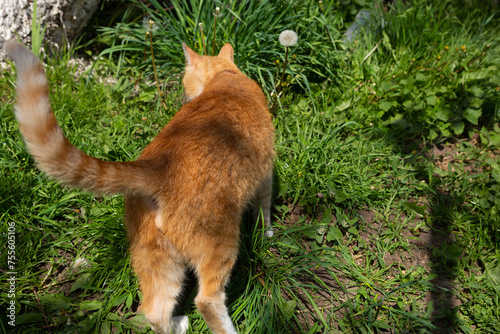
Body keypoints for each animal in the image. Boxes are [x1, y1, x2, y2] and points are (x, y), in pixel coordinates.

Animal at [5, 39, 276, 334]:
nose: (185, 96)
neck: (225, 76)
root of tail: (157, 166)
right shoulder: (266, 173)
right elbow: (264, 208)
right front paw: (267, 233)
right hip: (220, 242)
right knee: (206, 299)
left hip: (156, 258)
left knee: (153, 310)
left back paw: (177, 325)